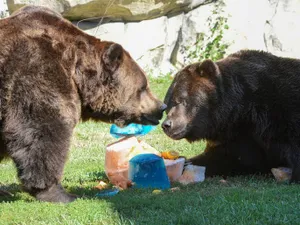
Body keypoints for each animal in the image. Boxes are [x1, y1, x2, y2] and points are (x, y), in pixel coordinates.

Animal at [0, 5, 166, 202]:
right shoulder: (36, 70)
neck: (77, 69)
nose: (161, 107)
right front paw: (58, 192)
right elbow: (42, 128)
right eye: (143, 87)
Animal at [163, 49, 300, 183]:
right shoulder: (236, 135)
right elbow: (225, 158)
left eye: (180, 100)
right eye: (167, 105)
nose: (167, 125)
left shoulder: (283, 108)